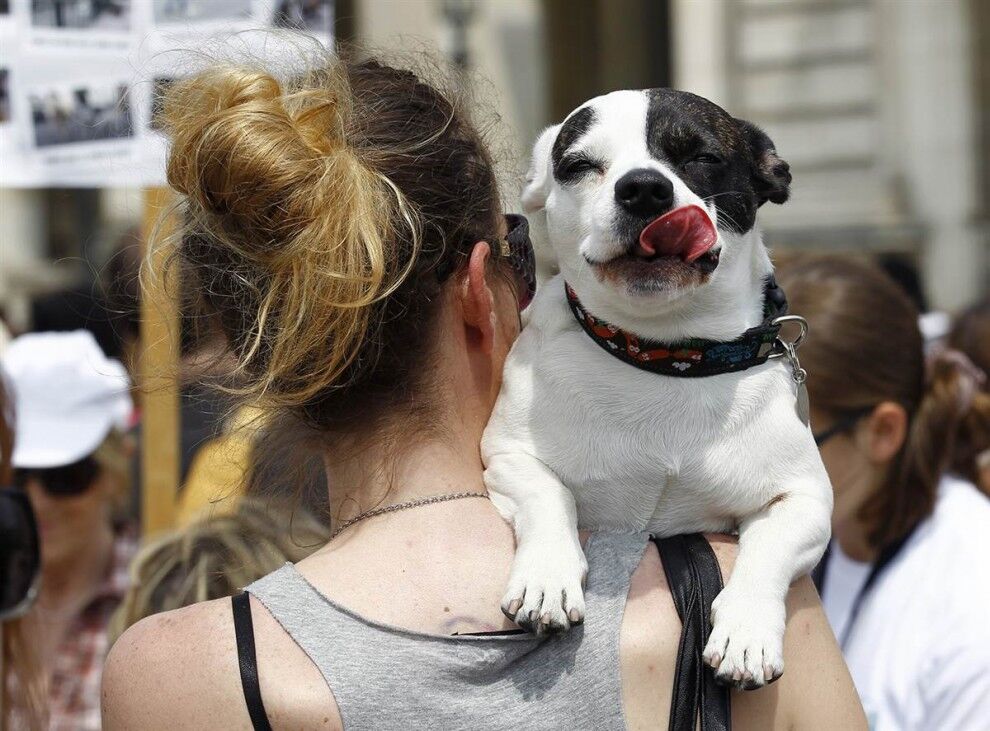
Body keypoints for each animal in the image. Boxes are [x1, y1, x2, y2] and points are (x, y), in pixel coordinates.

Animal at [484, 88, 832, 688]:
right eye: (579, 166)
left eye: (702, 157)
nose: (644, 186)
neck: (667, 357)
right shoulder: (506, 456)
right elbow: (547, 494)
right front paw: (547, 576)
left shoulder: (806, 499)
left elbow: (769, 547)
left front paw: (747, 630)